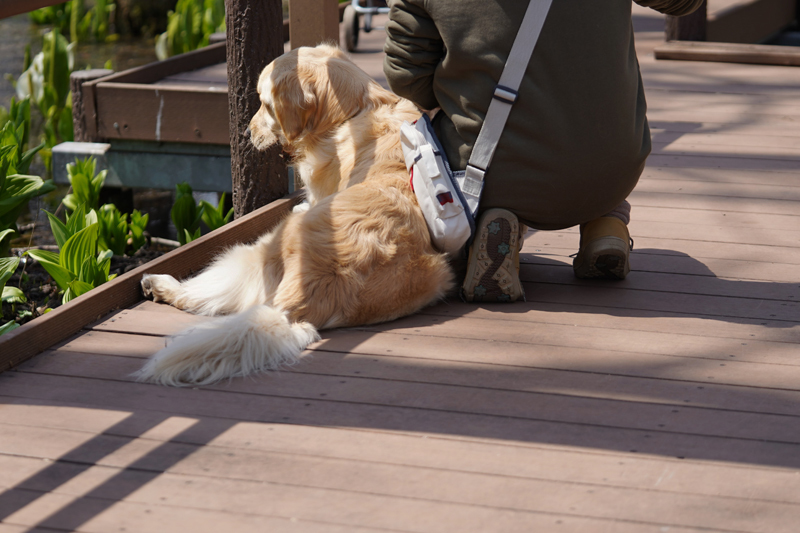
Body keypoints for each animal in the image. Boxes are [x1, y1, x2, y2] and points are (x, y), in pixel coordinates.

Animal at [134, 43, 454, 384]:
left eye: (265, 104)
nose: (246, 132)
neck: (356, 109)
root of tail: (291, 308)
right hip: (438, 274)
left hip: (256, 252)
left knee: (202, 295)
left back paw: (158, 284)